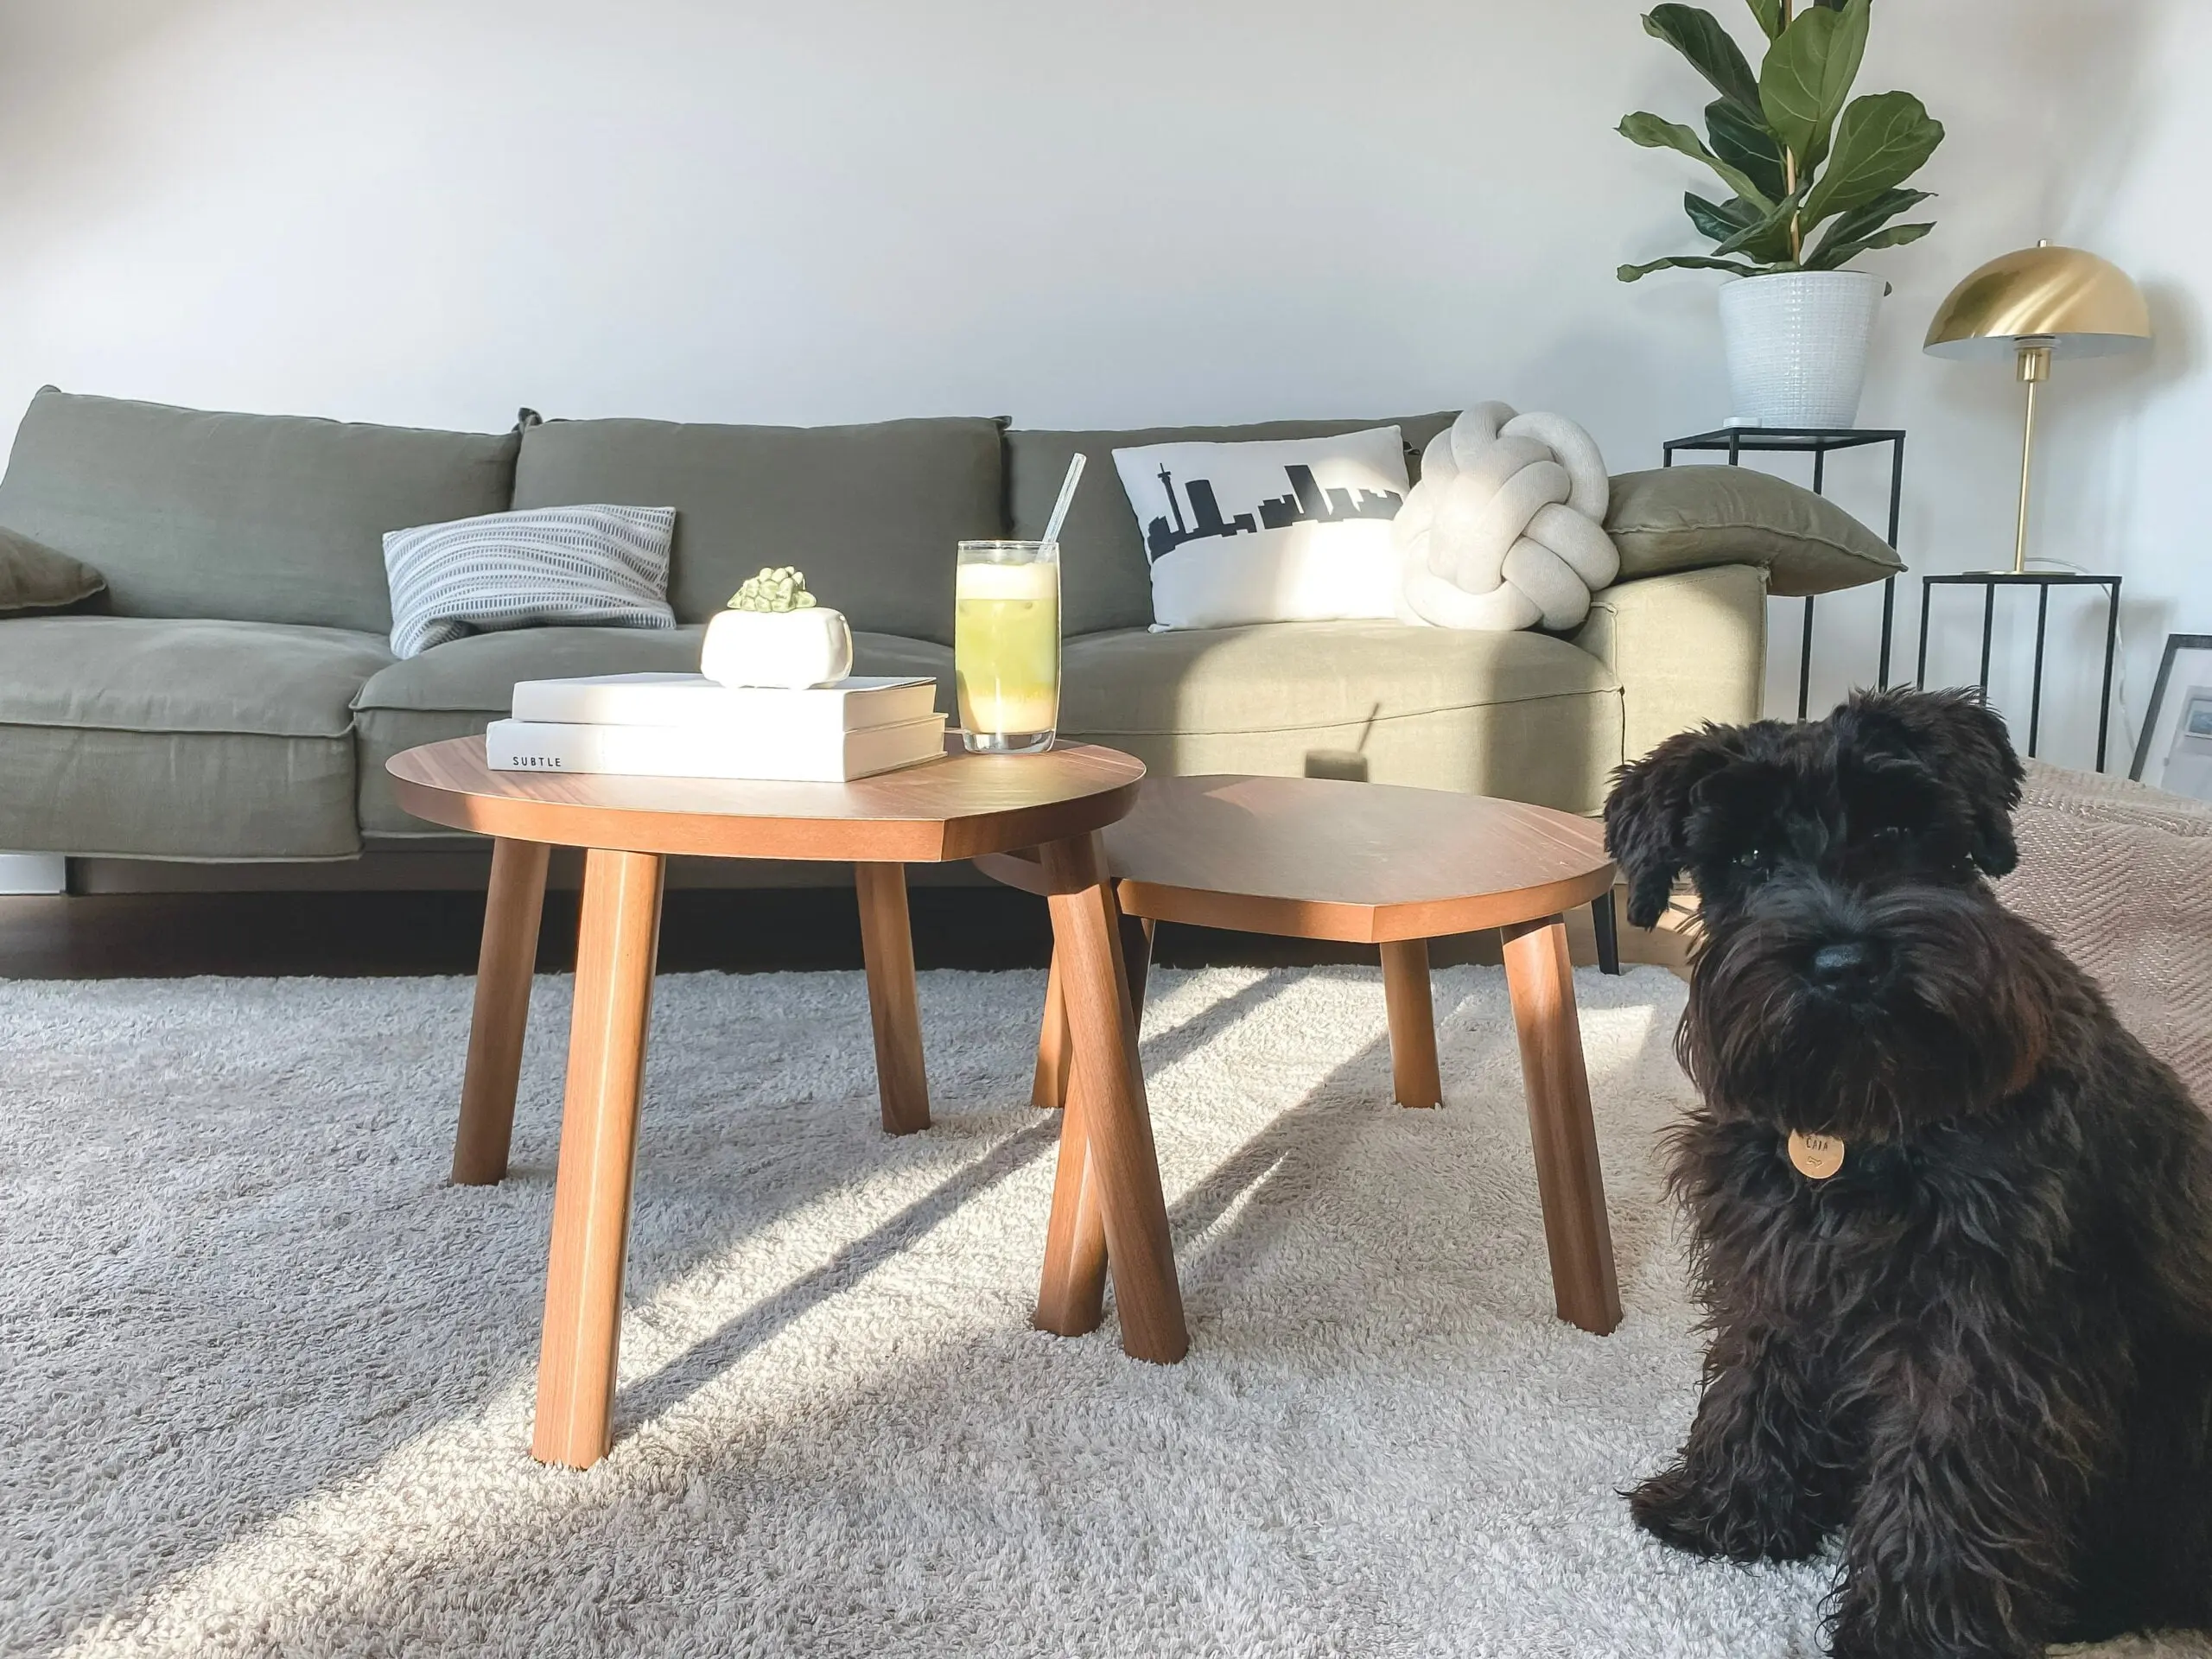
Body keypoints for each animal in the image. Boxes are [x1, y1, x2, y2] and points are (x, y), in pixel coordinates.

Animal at [1610, 681, 2212, 1654]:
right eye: (1747, 855)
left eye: (1898, 827)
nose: (1843, 962)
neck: (1868, 1120)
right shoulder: (1775, 1268)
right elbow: (1755, 1378)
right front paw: (1728, 1507)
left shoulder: (1980, 1331)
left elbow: (1946, 1476)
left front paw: (1913, 1631)